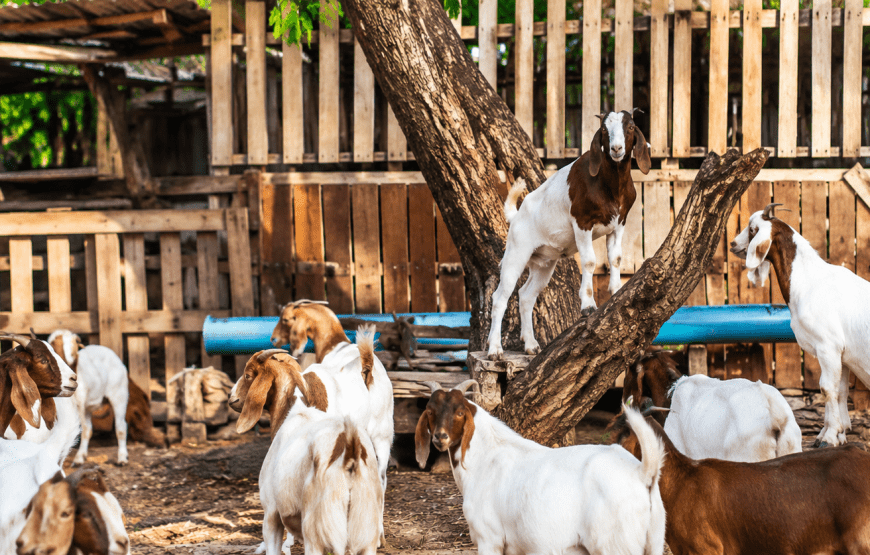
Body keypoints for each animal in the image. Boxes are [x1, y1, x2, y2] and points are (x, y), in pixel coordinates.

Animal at [46, 330, 130, 466]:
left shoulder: (79, 404)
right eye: (53, 344)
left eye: (75, 342)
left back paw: (122, 457)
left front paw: (77, 458)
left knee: (120, 427)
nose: (69, 357)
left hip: (119, 393)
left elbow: (82, 430)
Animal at [233, 351, 383, 555]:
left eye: (248, 375)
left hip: (317, 533)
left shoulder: (271, 514)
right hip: (365, 532)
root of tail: (350, 448)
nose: (232, 398)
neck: (296, 412)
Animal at [415, 381, 666, 555]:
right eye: (430, 410)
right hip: (654, 541)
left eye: (459, 412)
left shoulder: (489, 538)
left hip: (614, 545)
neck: (485, 458)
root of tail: (642, 472)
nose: (440, 437)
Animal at [486, 110, 651, 359]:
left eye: (630, 126)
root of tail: (516, 217)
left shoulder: (618, 224)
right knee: (500, 297)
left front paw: (616, 291)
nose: (616, 148)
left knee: (526, 295)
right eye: (604, 129)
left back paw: (531, 345)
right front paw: (588, 305)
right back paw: (495, 349)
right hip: (516, 252)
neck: (610, 186)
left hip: (543, 263)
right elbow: (590, 261)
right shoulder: (582, 222)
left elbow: (615, 258)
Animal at [731, 202, 870, 448]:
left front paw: (829, 437)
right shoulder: (842, 354)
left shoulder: (828, 346)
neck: (809, 282)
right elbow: (841, 391)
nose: (732, 244)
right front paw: (836, 432)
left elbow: (827, 388)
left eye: (752, 229)